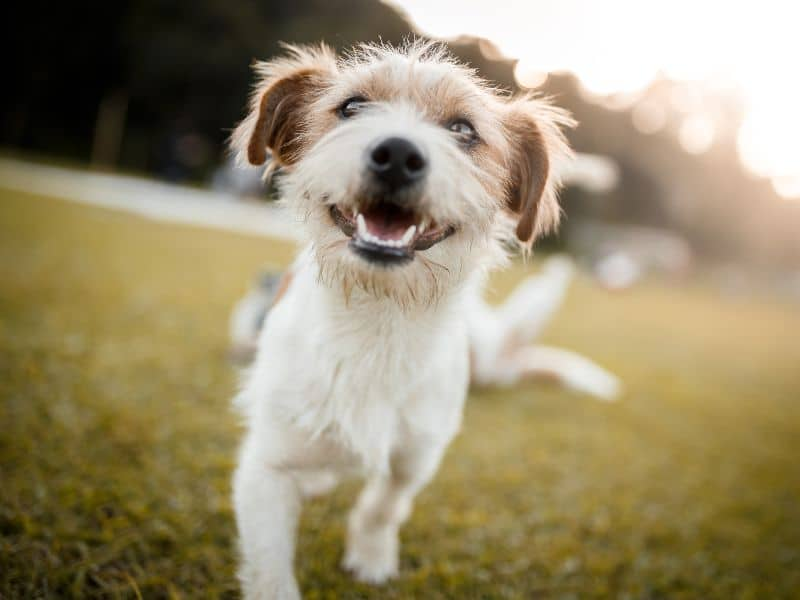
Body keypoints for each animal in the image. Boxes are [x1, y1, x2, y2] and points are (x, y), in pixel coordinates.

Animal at [228, 39, 608, 596]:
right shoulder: (266, 466)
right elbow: (270, 567)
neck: (379, 318)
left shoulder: (418, 453)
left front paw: (371, 555)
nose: (397, 155)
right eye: (351, 107)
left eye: (463, 129)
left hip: (486, 357)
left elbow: (385, 505)